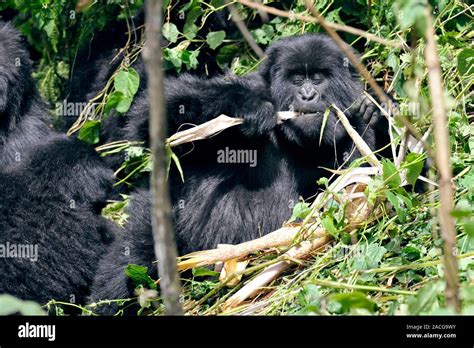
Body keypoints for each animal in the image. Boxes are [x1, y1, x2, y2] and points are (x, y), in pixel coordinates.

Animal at [90, 34, 388, 314]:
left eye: (317, 79)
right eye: (296, 80)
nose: (306, 96)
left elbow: (357, 195)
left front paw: (370, 115)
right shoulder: (254, 86)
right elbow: (157, 118)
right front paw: (247, 105)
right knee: (135, 252)